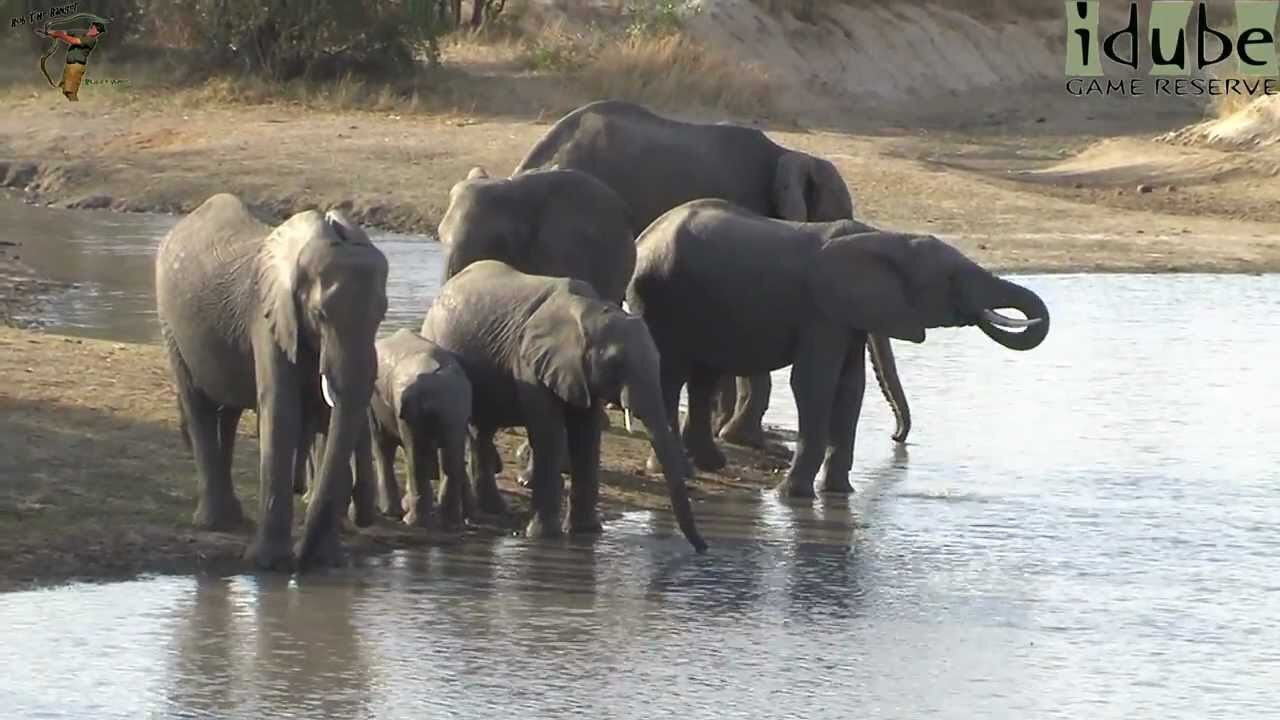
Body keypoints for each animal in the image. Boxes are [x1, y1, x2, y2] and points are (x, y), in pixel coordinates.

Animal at [155, 193, 384, 568]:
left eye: (382, 314)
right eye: (320, 314)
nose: (303, 559)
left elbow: (325, 413)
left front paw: (325, 563)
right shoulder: (267, 315)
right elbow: (281, 409)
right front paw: (268, 565)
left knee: (229, 411)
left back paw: (234, 519)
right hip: (170, 322)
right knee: (197, 402)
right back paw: (216, 523)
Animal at [424, 257, 711, 548]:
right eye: (615, 363)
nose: (703, 549)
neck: (588, 312)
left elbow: (587, 434)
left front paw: (586, 533)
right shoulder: (530, 363)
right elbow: (548, 432)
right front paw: (544, 537)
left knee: (482, 430)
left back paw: (495, 509)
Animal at [629, 198, 1049, 497]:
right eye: (951, 278)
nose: (896, 438)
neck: (886, 238)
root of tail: (645, 235)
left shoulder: (846, 317)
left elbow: (851, 387)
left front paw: (839, 494)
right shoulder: (822, 310)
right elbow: (815, 383)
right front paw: (792, 496)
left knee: (703, 376)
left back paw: (710, 465)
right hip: (661, 301)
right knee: (670, 375)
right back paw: (675, 471)